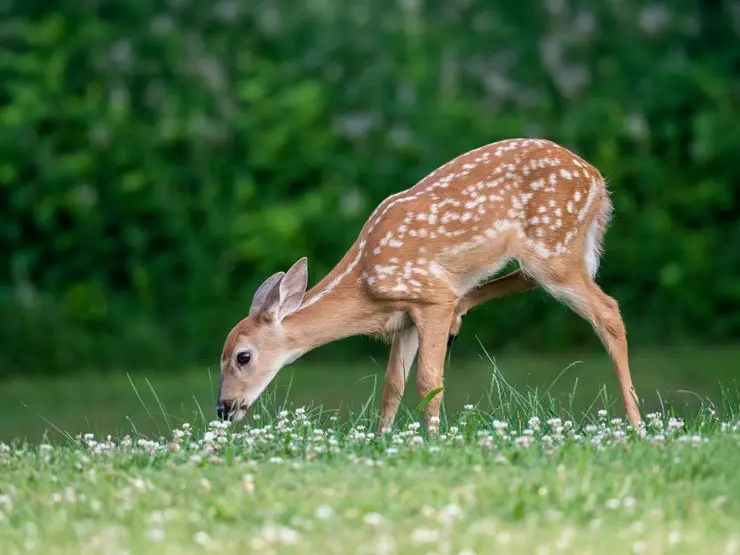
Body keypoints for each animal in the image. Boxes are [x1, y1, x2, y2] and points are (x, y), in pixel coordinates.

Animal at [217, 138, 642, 434]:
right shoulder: (404, 317)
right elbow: (391, 385)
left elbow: (428, 381)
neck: (365, 281)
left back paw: (637, 425)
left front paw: (432, 439)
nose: (223, 408)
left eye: (242, 356)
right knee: (521, 281)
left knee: (608, 310)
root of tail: (598, 181)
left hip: (555, 247)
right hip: (545, 255)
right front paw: (382, 439)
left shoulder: (428, 296)